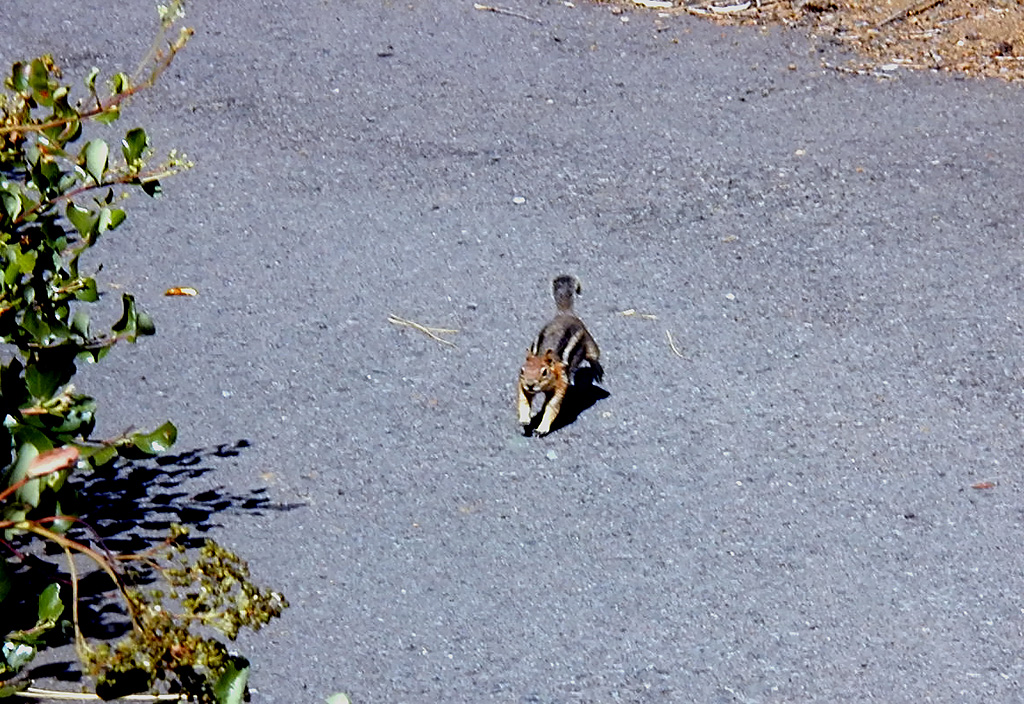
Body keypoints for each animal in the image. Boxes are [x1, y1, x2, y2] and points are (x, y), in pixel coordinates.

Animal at [518, 275, 603, 436]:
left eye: (544, 372)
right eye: (522, 370)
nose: (531, 384)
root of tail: (565, 314)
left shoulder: (561, 382)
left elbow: (552, 406)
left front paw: (542, 428)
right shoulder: (522, 384)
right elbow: (523, 400)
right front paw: (524, 420)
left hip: (588, 342)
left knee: (594, 356)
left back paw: (598, 371)